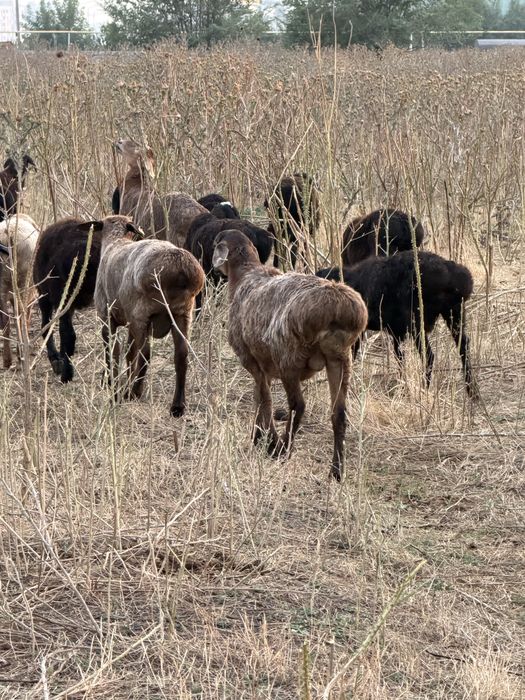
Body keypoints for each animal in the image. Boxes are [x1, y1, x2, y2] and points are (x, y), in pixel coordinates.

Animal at [0, 214, 40, 368]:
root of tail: (9, 233)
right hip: (25, 283)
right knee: (21, 316)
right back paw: (22, 352)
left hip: (2, 286)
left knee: (5, 320)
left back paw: (7, 360)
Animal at [33, 216, 116, 383]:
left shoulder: (48, 296)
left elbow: (53, 329)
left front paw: (58, 362)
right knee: (108, 335)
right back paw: (107, 377)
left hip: (58, 296)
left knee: (65, 333)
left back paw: (65, 373)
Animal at [94, 219, 204, 416]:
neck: (115, 241)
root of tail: (180, 266)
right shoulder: (129, 322)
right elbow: (129, 353)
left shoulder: (107, 316)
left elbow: (113, 351)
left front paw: (112, 383)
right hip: (182, 315)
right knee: (181, 354)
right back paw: (177, 406)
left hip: (142, 314)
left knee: (145, 352)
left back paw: (134, 392)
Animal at [213, 230, 367, 480]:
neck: (246, 274)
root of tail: (337, 307)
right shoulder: (263, 365)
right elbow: (258, 396)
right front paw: (258, 438)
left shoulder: (251, 360)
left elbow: (264, 399)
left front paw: (268, 441)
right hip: (340, 359)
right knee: (339, 413)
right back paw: (336, 470)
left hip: (289, 358)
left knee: (298, 405)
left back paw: (283, 449)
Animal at [317, 251, 478, 397]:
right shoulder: (397, 333)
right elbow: (400, 359)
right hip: (454, 315)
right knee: (463, 347)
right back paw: (472, 392)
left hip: (418, 326)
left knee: (429, 356)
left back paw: (424, 390)